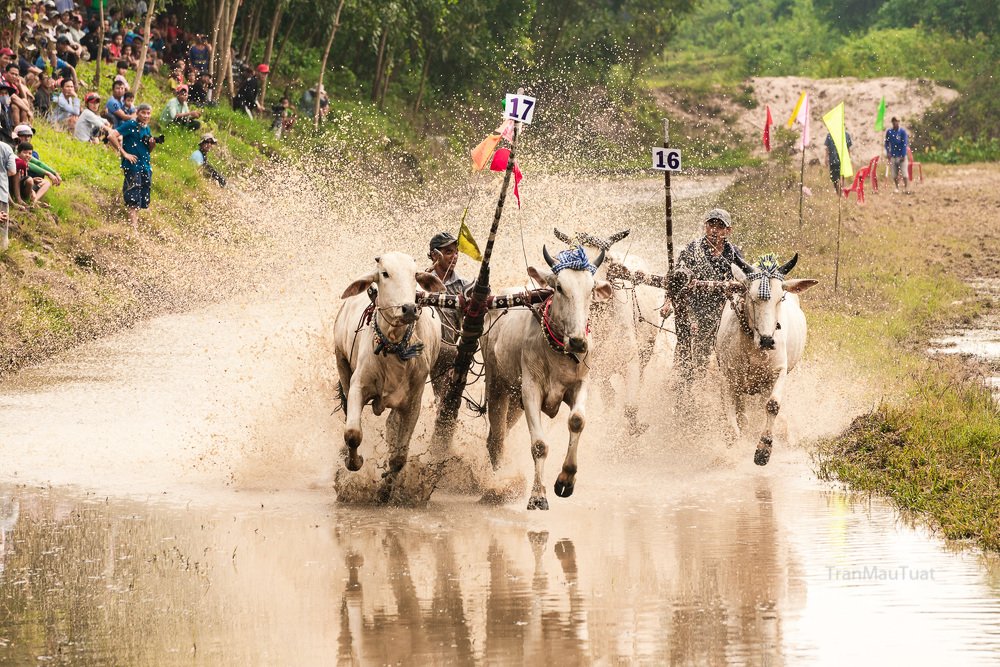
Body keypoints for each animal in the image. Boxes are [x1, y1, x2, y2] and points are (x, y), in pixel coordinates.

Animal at [333, 252, 445, 498]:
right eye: (385, 273)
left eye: (414, 275)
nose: (409, 309)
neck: (394, 346)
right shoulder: (358, 387)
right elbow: (353, 433)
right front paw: (354, 462)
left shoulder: (413, 402)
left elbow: (399, 457)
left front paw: (386, 490)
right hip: (341, 363)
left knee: (392, 425)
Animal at [480, 245, 613, 510]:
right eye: (559, 287)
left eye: (591, 289)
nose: (578, 341)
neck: (558, 351)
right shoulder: (531, 391)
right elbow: (540, 445)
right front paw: (537, 495)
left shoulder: (580, 384)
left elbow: (577, 420)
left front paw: (566, 480)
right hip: (497, 386)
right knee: (496, 439)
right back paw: (498, 484)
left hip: (515, 402)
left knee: (500, 435)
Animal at [553, 228, 667, 436]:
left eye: (605, 259)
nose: (591, 285)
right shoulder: (594, 370)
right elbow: (608, 396)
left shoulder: (631, 361)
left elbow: (630, 406)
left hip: (647, 352)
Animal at [715, 253, 818, 466]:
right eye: (752, 298)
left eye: (780, 299)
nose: (767, 340)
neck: (753, 347)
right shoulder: (728, 377)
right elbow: (731, 417)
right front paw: (733, 447)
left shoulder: (779, 371)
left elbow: (772, 405)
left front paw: (764, 449)